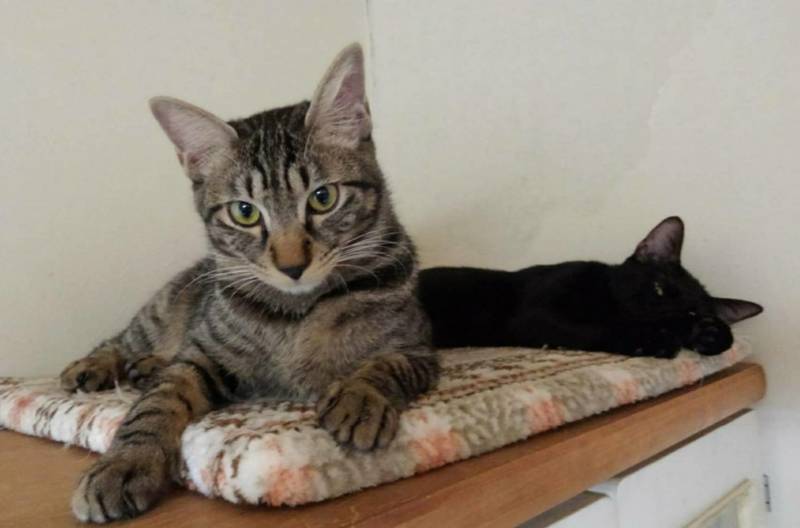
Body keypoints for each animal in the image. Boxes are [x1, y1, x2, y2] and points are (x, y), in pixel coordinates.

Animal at [59, 44, 439, 523]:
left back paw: (143, 367)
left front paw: (360, 398)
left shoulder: (418, 348)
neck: (298, 312)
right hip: (160, 313)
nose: (292, 266)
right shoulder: (201, 356)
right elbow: (156, 404)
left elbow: (386, 365)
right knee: (122, 341)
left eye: (323, 198)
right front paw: (124, 464)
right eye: (244, 212)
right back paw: (95, 365)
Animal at [418, 216, 762, 357]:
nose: (664, 318)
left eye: (691, 314)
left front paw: (714, 335)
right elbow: (593, 329)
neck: (603, 297)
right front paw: (648, 340)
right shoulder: (537, 314)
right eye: (660, 288)